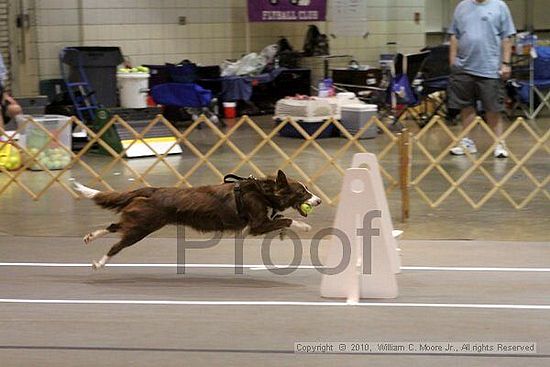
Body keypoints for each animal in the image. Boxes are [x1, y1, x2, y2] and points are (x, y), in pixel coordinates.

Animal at [74, 170, 324, 270]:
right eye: (302, 193)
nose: (319, 200)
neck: (264, 192)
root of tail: (153, 190)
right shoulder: (255, 225)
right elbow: (286, 220)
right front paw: (304, 225)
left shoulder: (259, 224)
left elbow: (280, 219)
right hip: (143, 226)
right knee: (117, 244)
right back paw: (99, 263)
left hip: (141, 221)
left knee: (114, 226)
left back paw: (90, 237)